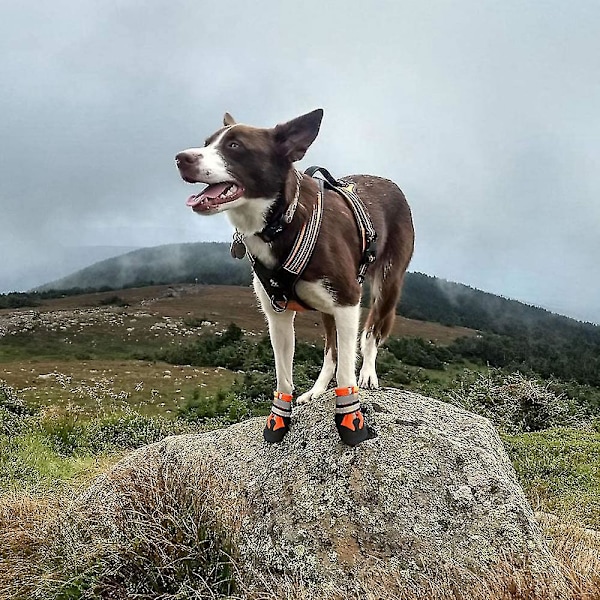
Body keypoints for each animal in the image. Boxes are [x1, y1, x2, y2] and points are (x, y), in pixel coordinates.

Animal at [176, 109, 414, 446]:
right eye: (207, 143)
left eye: (235, 146)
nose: (180, 158)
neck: (281, 223)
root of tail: (389, 183)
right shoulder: (277, 314)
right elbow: (284, 376)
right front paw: (279, 421)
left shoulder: (348, 301)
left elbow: (347, 371)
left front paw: (350, 420)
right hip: (328, 307)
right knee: (331, 350)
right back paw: (317, 390)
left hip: (387, 284)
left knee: (370, 333)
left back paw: (368, 373)